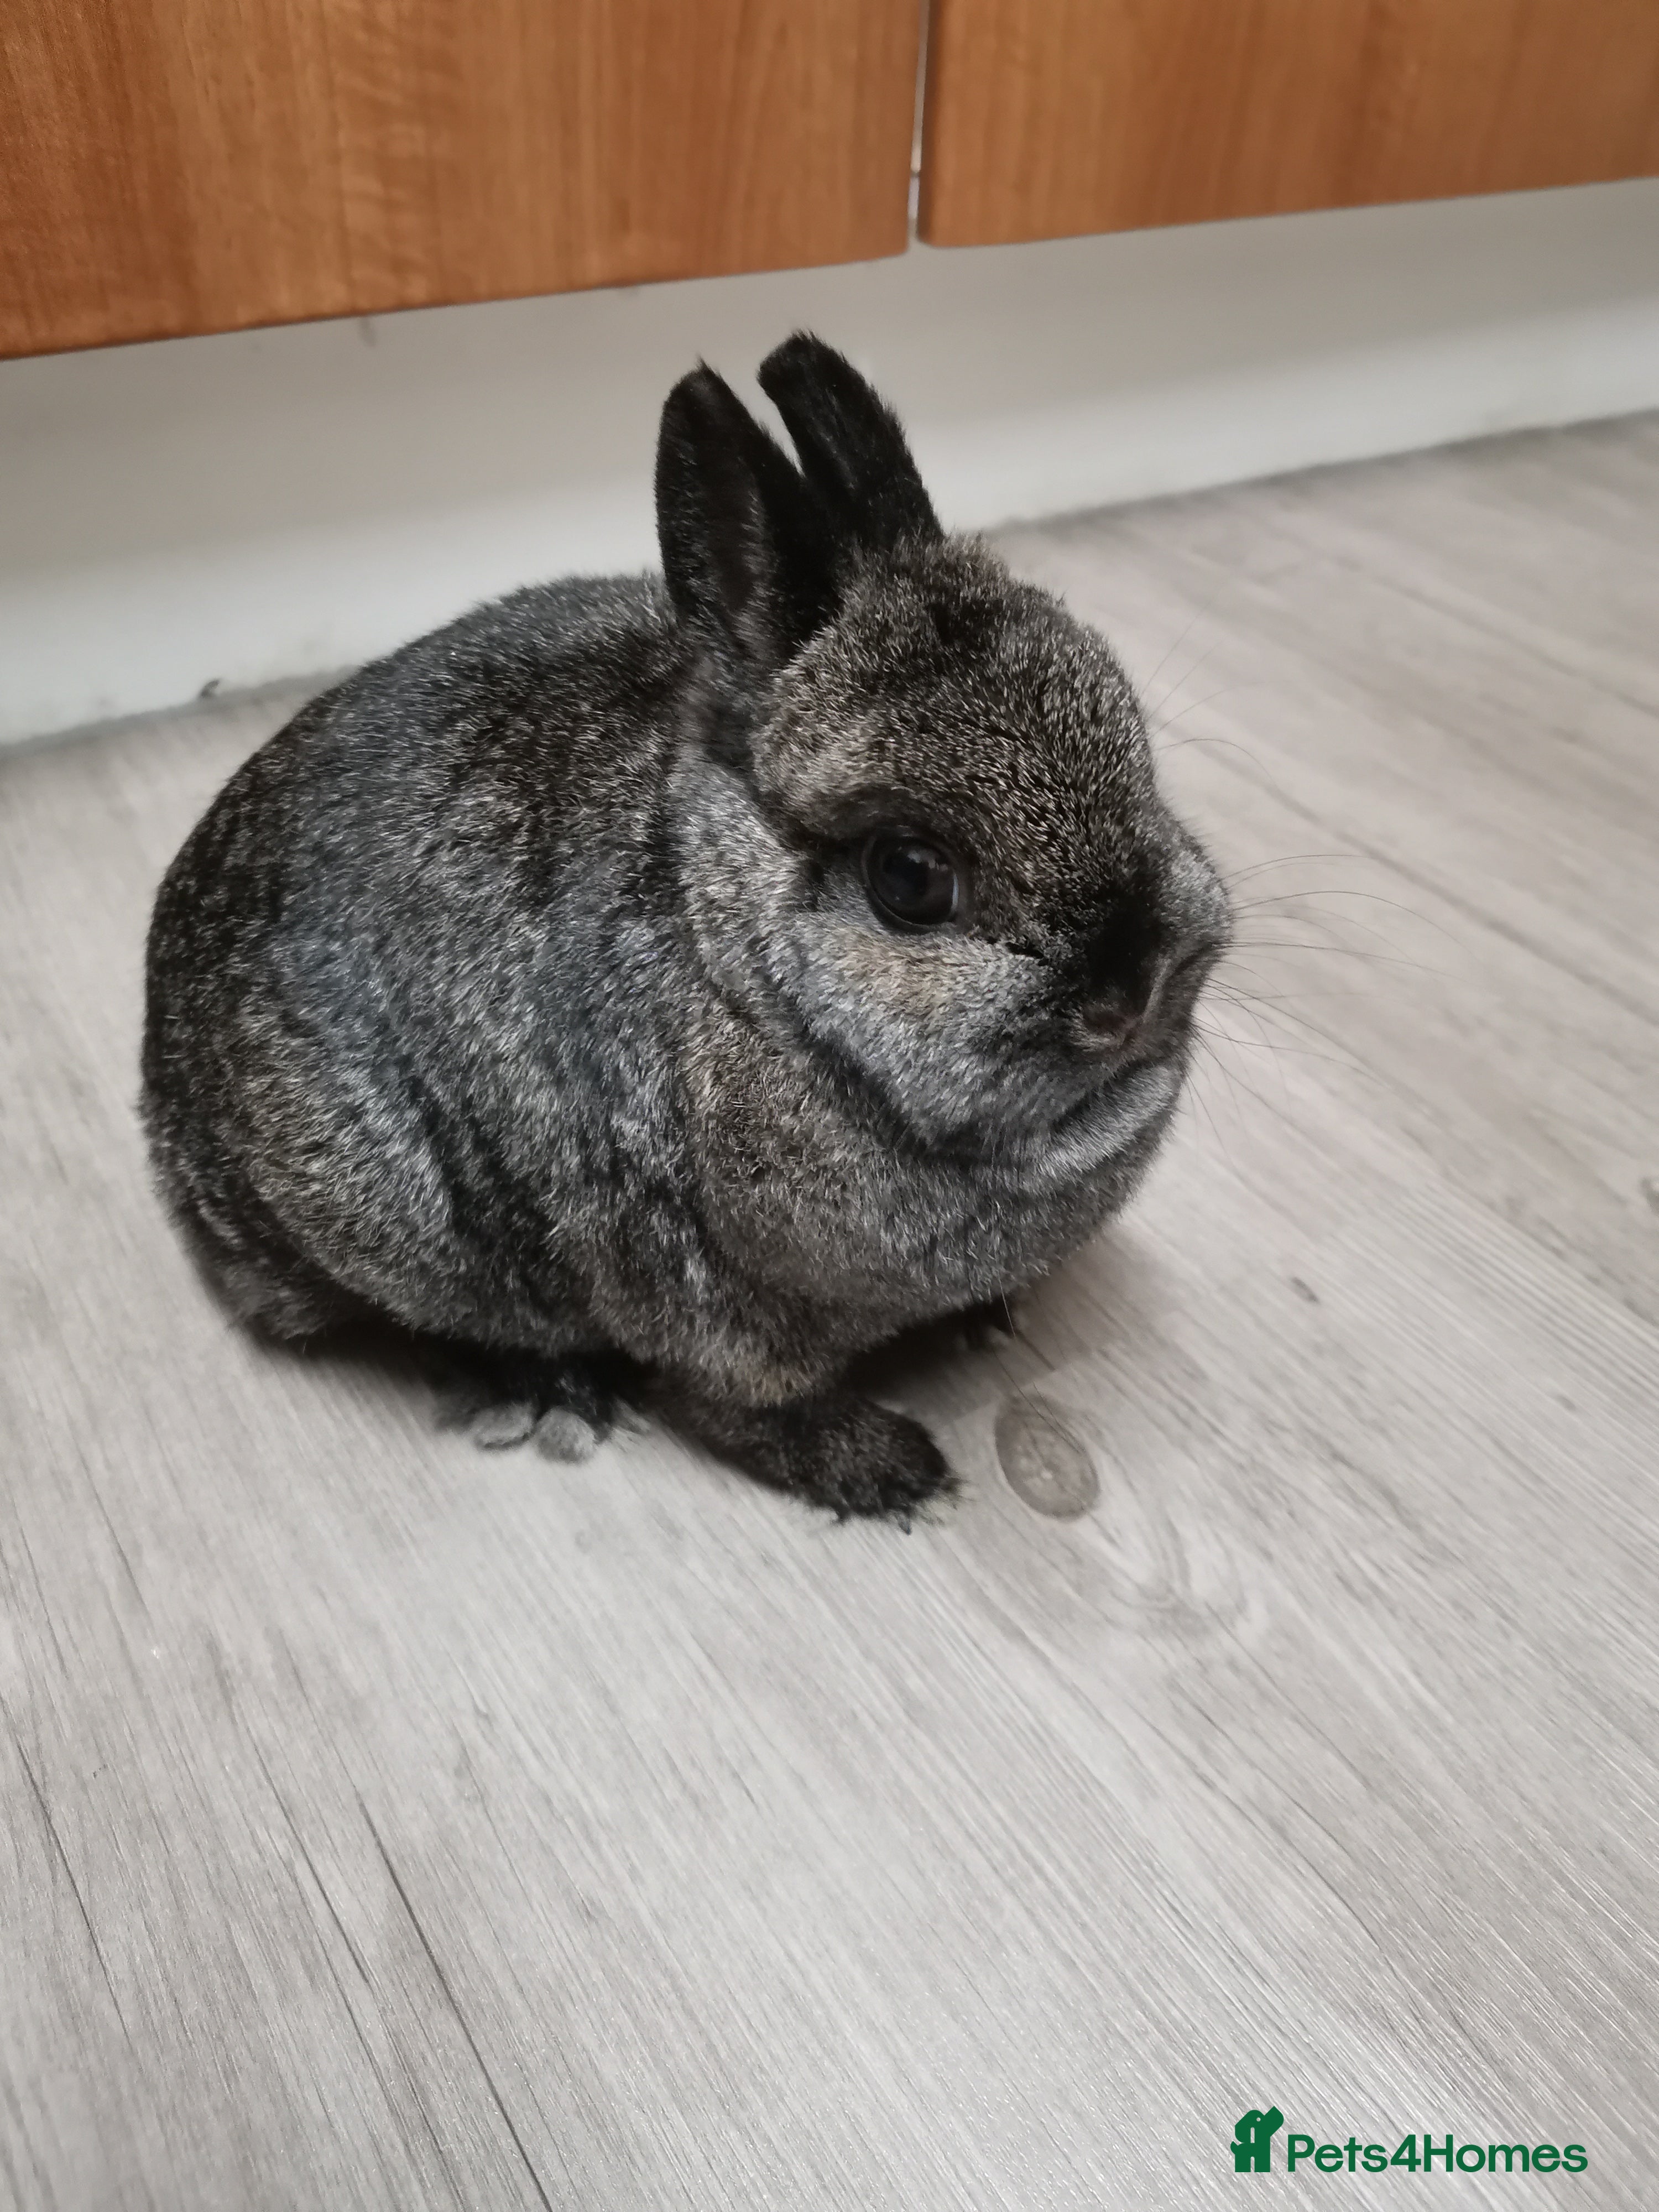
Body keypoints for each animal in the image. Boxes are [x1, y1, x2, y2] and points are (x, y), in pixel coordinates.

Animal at [142, 334, 1230, 1520]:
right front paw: (888, 1471)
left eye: (1138, 758)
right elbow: (747, 1406)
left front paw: (987, 1320)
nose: (1135, 987)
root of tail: (165, 1104)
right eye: (909, 876)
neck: (742, 978)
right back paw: (544, 1391)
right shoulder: (701, 1296)